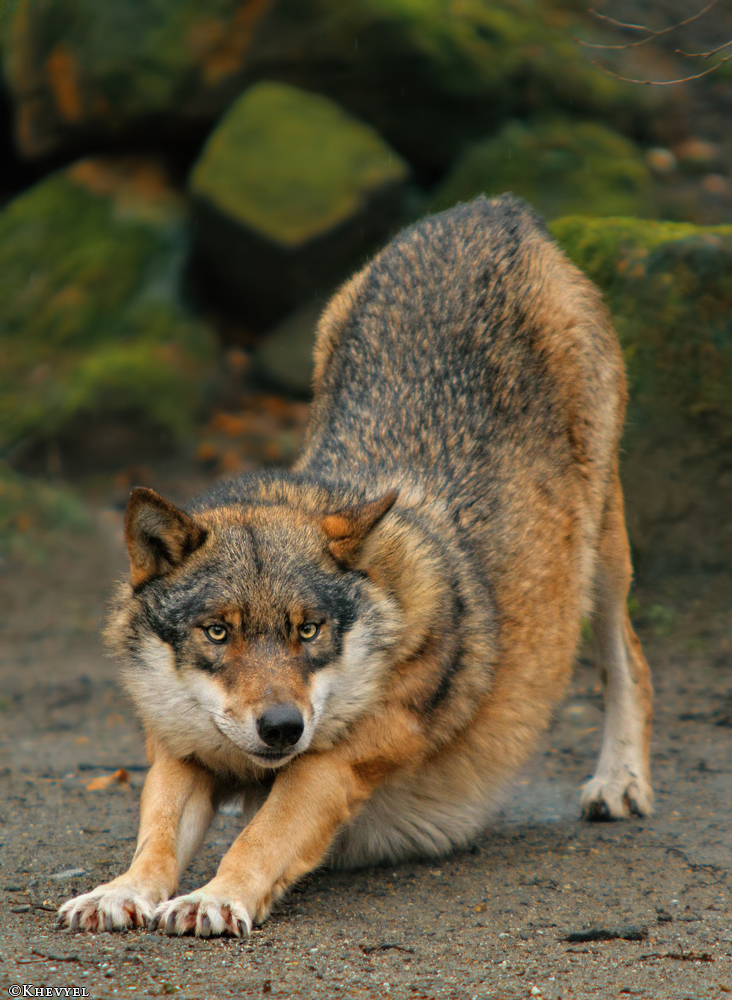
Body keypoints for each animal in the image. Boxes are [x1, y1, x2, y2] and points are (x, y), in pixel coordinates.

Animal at [59, 194, 653, 938]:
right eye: (217, 632)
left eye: (309, 630)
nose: (282, 728)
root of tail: (490, 211)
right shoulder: (184, 751)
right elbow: (156, 835)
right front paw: (121, 891)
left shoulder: (330, 766)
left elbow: (259, 836)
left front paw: (212, 898)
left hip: (602, 559)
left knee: (629, 660)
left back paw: (620, 783)